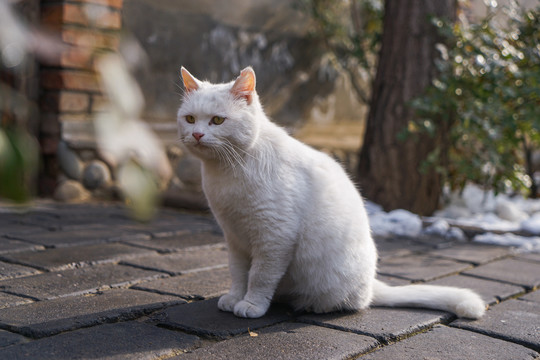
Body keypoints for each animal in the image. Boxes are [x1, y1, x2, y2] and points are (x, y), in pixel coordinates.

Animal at [177, 66, 486, 320]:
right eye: (190, 119)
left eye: (217, 121)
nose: (197, 135)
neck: (226, 171)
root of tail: (371, 284)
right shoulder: (234, 237)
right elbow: (239, 274)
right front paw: (234, 298)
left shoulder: (275, 236)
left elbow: (260, 277)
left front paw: (251, 305)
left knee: (350, 304)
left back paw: (310, 305)